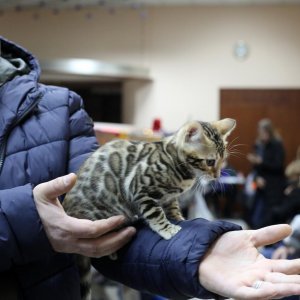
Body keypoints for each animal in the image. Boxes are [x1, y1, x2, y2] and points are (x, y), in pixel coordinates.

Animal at [63, 118, 237, 298]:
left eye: (222, 160)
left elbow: (172, 207)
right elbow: (156, 213)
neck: (177, 163)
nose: (217, 176)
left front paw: (178, 218)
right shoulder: (139, 189)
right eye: (210, 161)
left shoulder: (169, 197)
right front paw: (168, 229)